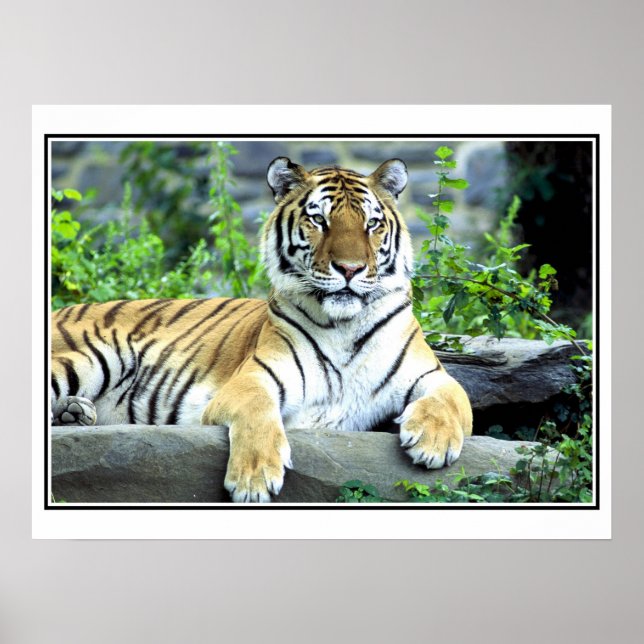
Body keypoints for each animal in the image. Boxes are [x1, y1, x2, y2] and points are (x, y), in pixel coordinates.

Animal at [51, 156, 473, 503]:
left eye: (372, 224)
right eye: (319, 220)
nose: (350, 269)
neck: (344, 326)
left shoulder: (431, 374)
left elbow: (451, 398)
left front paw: (433, 443)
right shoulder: (253, 378)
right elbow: (258, 412)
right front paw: (253, 480)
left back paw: (74, 412)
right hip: (99, 355)